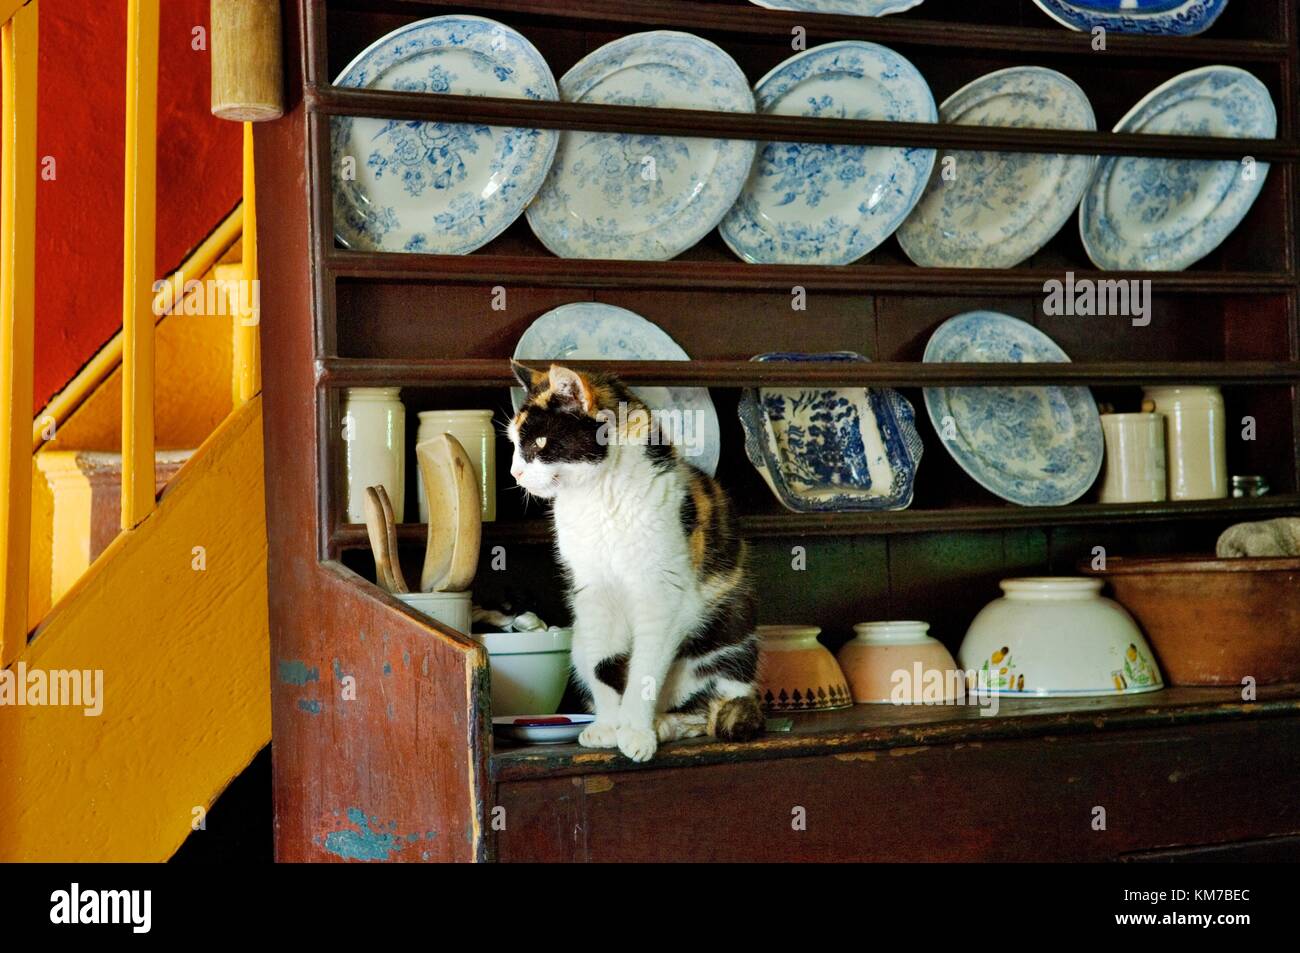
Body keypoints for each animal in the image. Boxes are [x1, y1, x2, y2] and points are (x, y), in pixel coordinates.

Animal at [504, 361, 759, 764]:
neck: (600, 496)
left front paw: (636, 733)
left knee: (707, 711)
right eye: (514, 443)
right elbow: (605, 665)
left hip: (727, 639)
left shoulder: (663, 594)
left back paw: (661, 725)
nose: (515, 473)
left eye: (539, 443)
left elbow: (644, 672)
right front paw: (610, 727)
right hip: (580, 639)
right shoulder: (593, 593)